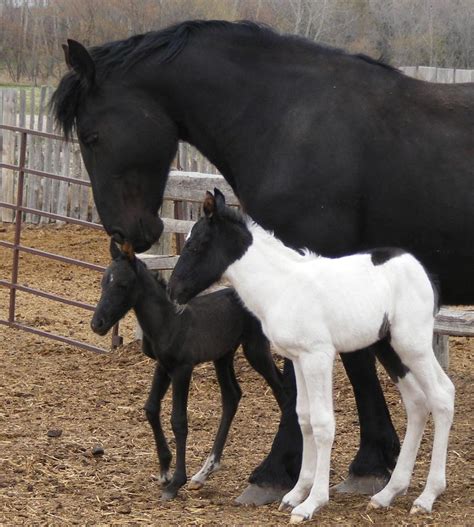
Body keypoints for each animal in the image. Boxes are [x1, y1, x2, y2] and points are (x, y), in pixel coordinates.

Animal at [91, 241, 286, 502]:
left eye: (122, 284)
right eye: (104, 282)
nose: (97, 324)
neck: (169, 321)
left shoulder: (182, 369)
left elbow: (179, 421)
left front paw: (175, 482)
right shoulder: (163, 366)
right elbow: (151, 409)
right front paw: (164, 470)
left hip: (255, 349)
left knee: (281, 389)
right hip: (223, 356)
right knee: (232, 396)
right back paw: (204, 472)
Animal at [169, 190, 456, 524]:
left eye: (195, 245)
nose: (173, 291)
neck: (281, 287)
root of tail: (422, 270)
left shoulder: (318, 356)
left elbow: (322, 423)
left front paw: (312, 502)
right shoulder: (297, 358)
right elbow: (303, 417)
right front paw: (296, 493)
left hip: (414, 344)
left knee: (441, 395)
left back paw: (427, 496)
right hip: (390, 348)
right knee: (418, 402)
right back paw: (387, 494)